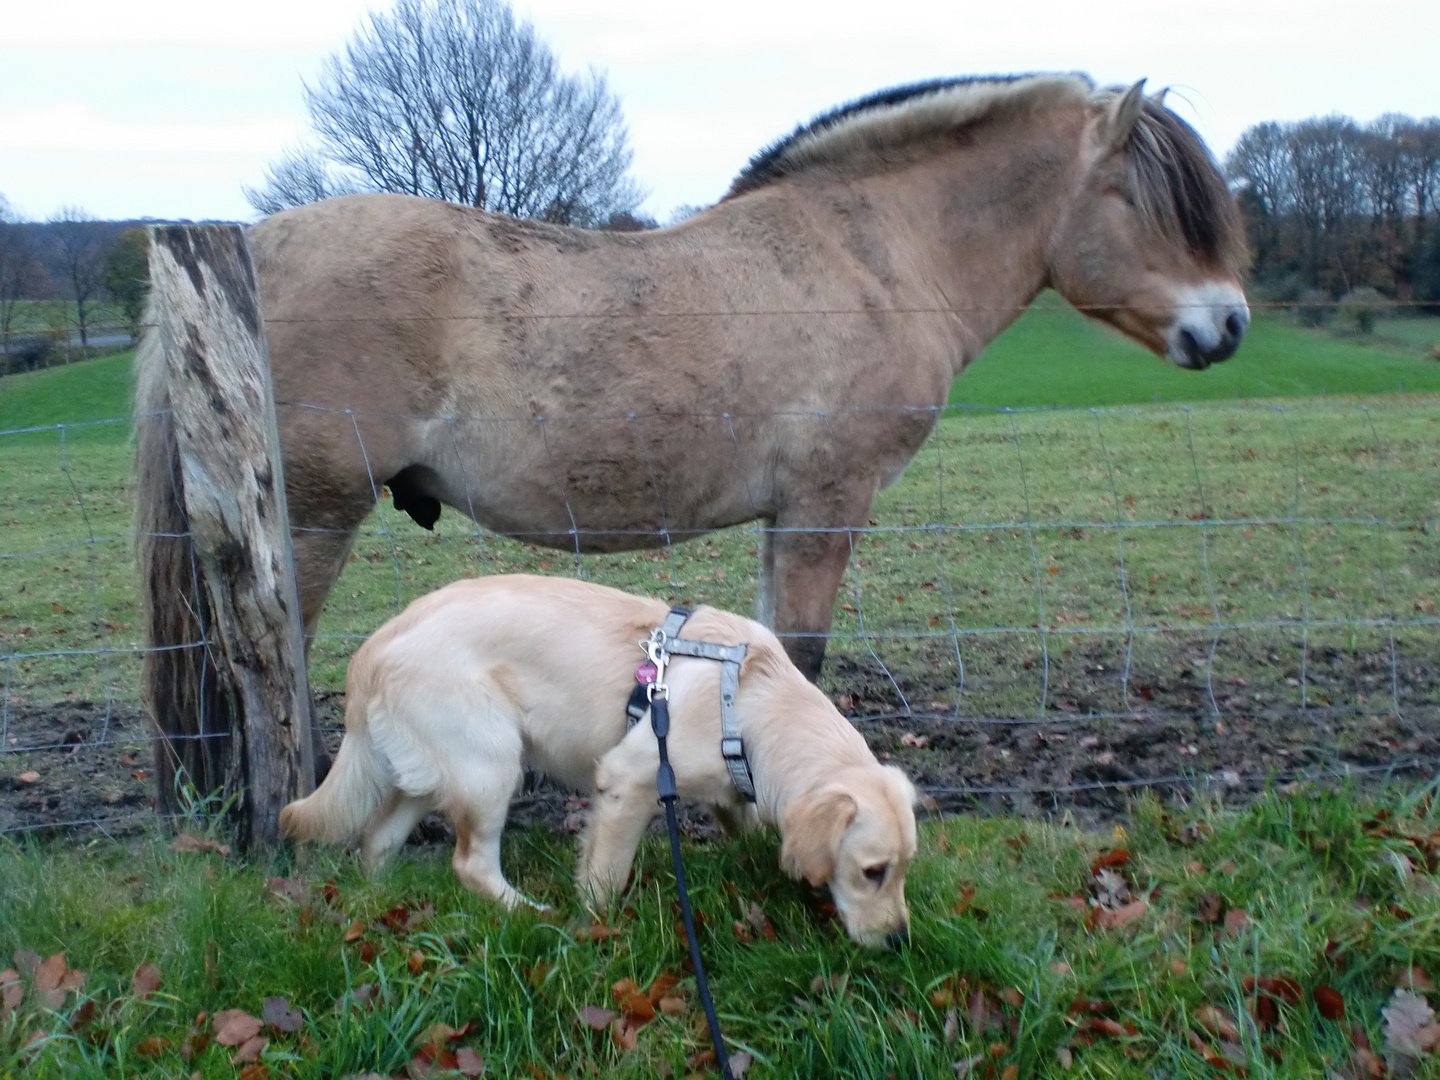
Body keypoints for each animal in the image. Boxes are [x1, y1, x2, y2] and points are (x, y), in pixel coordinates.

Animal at [140, 69, 1255, 794]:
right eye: (1144, 198)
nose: (1230, 326)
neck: (867, 258)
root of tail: (255, 246)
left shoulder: (789, 515)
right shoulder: (825, 505)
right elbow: (800, 654)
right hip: (314, 520)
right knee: (264, 660)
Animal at [275, 576, 915, 944]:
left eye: (905, 869)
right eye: (872, 871)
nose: (901, 941)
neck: (753, 700)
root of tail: (372, 647)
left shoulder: (731, 789)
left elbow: (748, 824)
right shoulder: (629, 780)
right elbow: (606, 877)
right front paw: (596, 928)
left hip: (432, 772)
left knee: (377, 839)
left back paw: (380, 903)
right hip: (492, 766)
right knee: (470, 864)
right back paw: (531, 914)